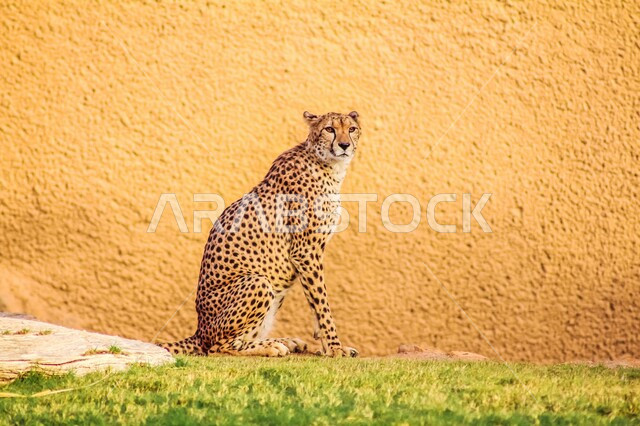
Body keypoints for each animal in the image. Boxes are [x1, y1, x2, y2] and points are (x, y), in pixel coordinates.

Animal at [158, 110, 361, 357]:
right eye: (329, 129)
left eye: (351, 129)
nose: (344, 145)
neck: (327, 164)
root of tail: (199, 330)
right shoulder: (305, 251)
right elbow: (322, 303)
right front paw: (335, 348)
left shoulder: (309, 253)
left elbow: (315, 301)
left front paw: (327, 345)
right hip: (259, 282)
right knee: (218, 348)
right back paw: (272, 346)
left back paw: (286, 341)